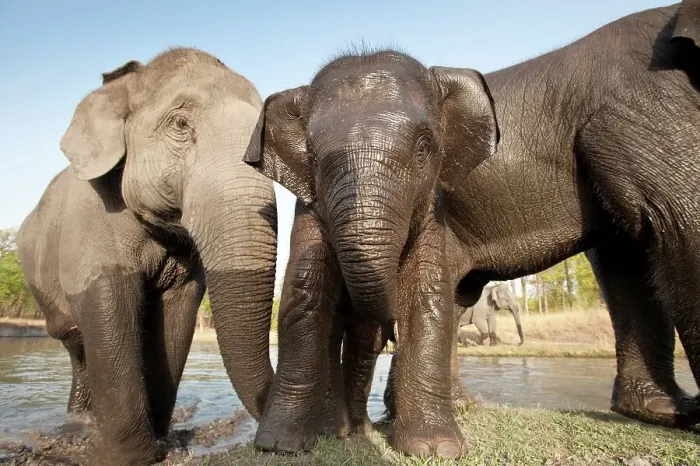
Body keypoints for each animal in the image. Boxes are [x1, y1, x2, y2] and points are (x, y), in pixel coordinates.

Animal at [16, 48, 277, 465]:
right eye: (181, 124)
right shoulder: (92, 221)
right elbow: (108, 302)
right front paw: (122, 456)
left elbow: (176, 314)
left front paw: (161, 446)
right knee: (77, 342)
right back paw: (79, 430)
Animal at [241, 50, 500, 459]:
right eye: (313, 158)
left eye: (424, 149)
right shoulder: (308, 211)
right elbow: (304, 294)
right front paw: (278, 446)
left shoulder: (432, 212)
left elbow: (428, 294)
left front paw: (436, 449)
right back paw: (337, 431)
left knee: (363, 345)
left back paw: (356, 430)